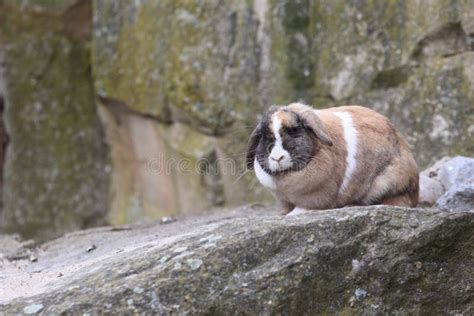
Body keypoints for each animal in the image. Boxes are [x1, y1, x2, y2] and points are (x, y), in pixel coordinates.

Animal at [246, 103, 420, 215]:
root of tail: (414, 192)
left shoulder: (315, 197)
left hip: (385, 185)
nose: (277, 158)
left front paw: (292, 215)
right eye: (265, 136)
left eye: (294, 130)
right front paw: (282, 214)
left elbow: (304, 207)